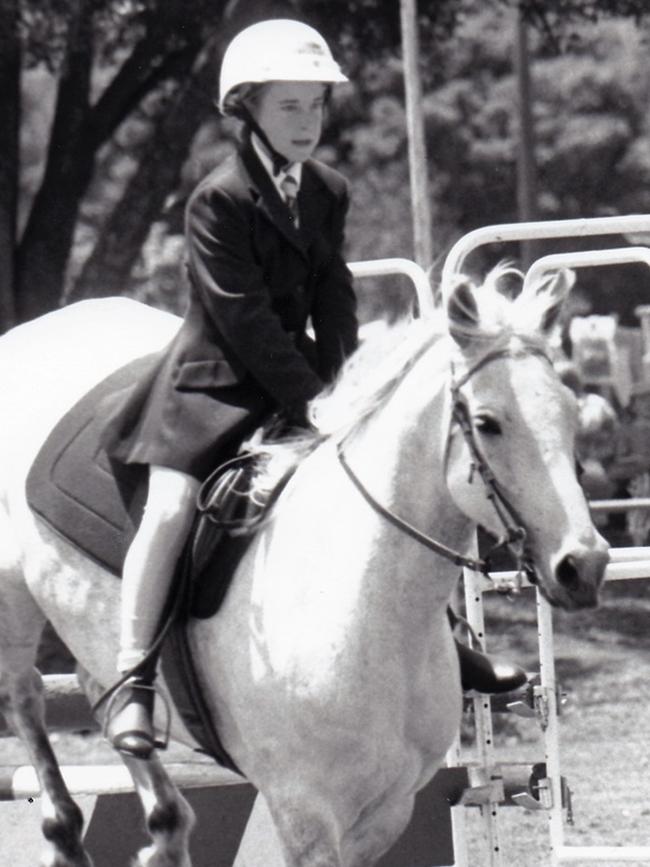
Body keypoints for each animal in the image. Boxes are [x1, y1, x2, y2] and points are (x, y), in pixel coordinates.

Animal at [0, 268, 608, 864]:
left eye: (571, 413)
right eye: (487, 422)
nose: (584, 564)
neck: (368, 605)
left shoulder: (387, 812)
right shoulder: (305, 812)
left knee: (100, 684)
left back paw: (165, 826)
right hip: (15, 597)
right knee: (25, 693)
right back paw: (64, 831)